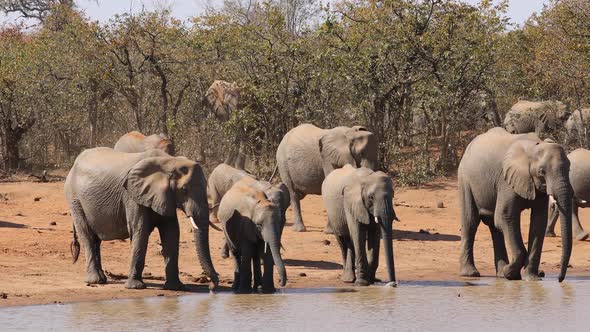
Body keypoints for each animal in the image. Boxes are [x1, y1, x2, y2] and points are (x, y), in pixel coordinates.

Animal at [65, 148, 221, 290]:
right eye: (184, 190)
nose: (211, 286)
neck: (170, 161)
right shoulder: (132, 196)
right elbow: (140, 231)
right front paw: (135, 287)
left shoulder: (165, 196)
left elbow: (171, 233)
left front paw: (175, 287)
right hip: (74, 198)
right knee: (87, 235)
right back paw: (95, 280)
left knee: (96, 239)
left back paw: (101, 279)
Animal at [460, 127, 576, 282]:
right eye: (542, 172)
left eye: (569, 169)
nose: (560, 279)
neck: (534, 147)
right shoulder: (506, 180)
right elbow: (505, 217)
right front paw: (510, 273)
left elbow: (538, 222)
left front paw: (531, 279)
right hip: (465, 179)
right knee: (470, 222)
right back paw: (471, 274)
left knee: (494, 228)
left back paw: (500, 274)